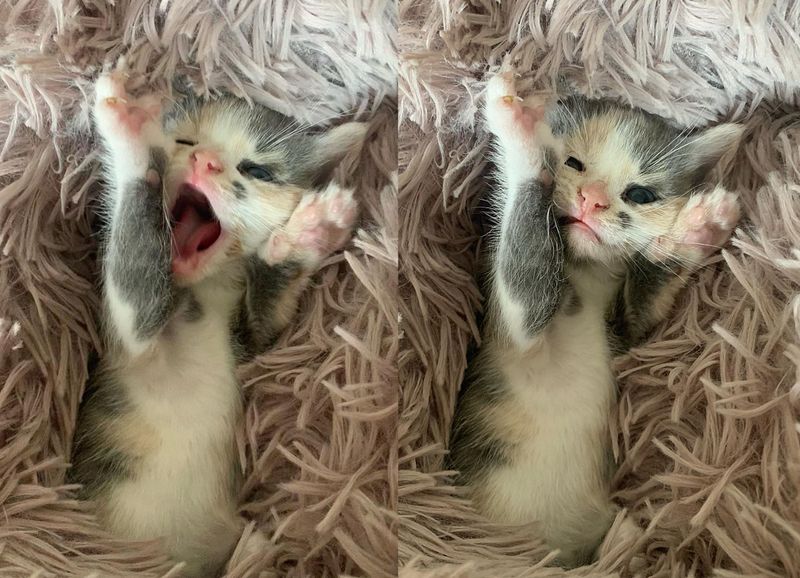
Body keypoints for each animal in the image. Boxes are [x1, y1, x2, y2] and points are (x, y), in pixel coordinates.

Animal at [70, 63, 368, 576]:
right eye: (184, 140)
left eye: (257, 169)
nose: (204, 161)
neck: (200, 296)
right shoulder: (129, 335)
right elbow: (135, 277)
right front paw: (128, 124)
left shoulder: (252, 343)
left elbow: (269, 319)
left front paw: (311, 234)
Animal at [450, 70, 744, 564]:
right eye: (572, 163)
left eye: (641, 194)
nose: (592, 201)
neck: (584, 277)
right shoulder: (511, 326)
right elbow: (524, 278)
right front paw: (519, 127)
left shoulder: (624, 334)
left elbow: (645, 310)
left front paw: (697, 231)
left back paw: (624, 540)